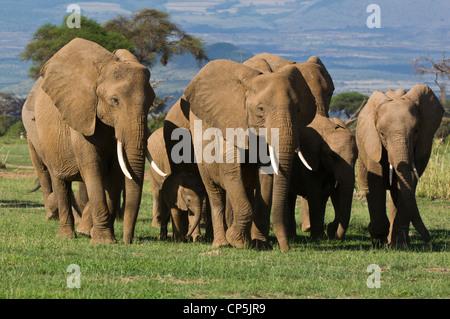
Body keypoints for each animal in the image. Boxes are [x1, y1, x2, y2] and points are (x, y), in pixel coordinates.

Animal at [27, 37, 156, 244]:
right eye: (115, 100)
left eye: (151, 102)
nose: (128, 241)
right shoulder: (82, 116)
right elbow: (93, 166)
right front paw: (104, 241)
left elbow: (115, 173)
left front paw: (96, 235)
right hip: (43, 137)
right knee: (60, 181)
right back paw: (66, 235)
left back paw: (83, 231)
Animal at [163, 58, 314, 251]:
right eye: (261, 109)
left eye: (298, 109)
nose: (286, 249)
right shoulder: (228, 122)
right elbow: (231, 172)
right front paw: (237, 242)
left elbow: (265, 178)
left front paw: (261, 245)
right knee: (215, 195)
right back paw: (220, 243)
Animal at [356, 85, 444, 248]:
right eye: (382, 133)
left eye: (416, 131)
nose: (430, 240)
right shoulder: (373, 143)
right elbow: (376, 183)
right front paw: (378, 241)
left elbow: (408, 184)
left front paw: (400, 246)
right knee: (367, 185)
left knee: (397, 192)